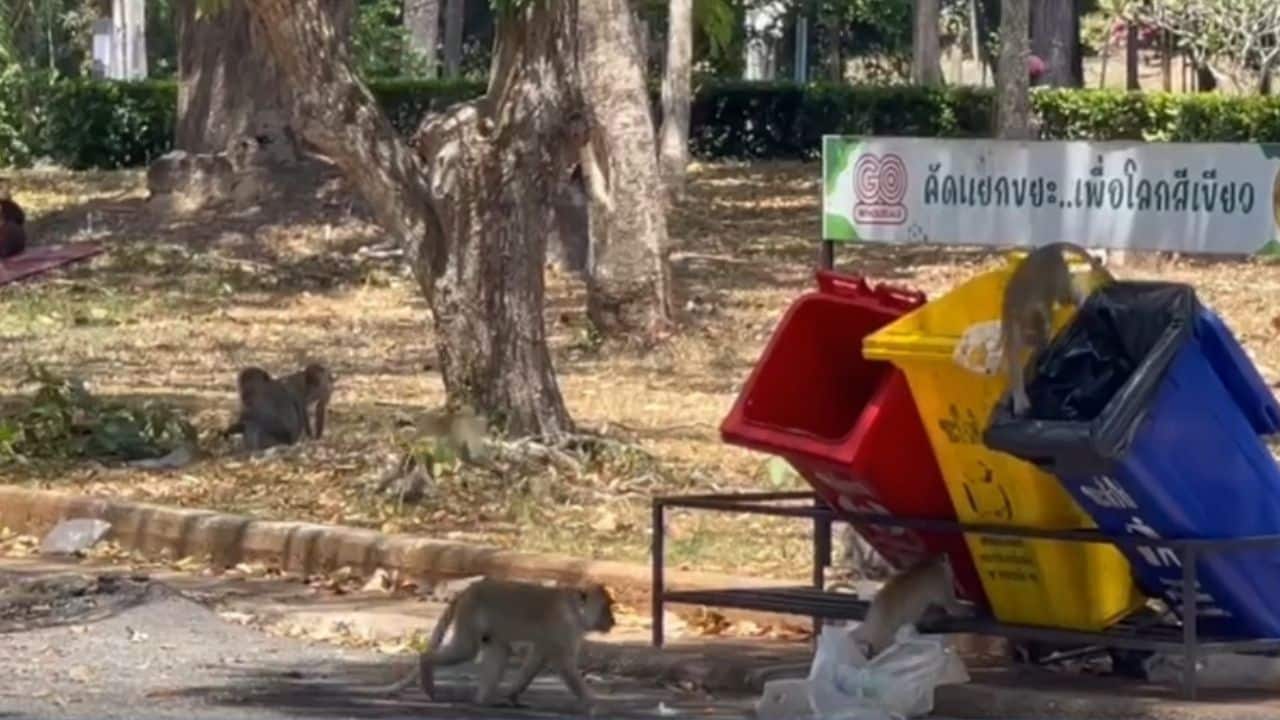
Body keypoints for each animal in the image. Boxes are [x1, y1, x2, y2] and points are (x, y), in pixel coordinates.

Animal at [372, 578, 616, 711]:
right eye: (606, 607)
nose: (613, 621)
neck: (574, 609)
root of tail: (467, 590)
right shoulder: (564, 629)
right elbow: (564, 665)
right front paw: (594, 703)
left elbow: (536, 659)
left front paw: (513, 695)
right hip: (470, 616)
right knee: (465, 650)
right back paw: (428, 675)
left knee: (499, 650)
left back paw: (483, 700)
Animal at [999, 241, 1113, 416]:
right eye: (1029, 335)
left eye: (1045, 332)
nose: (1042, 346)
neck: (1026, 305)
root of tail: (1050, 247)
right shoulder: (1012, 331)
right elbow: (1013, 360)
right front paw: (1015, 394)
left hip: (1060, 281)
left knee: (1066, 294)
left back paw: (1079, 299)